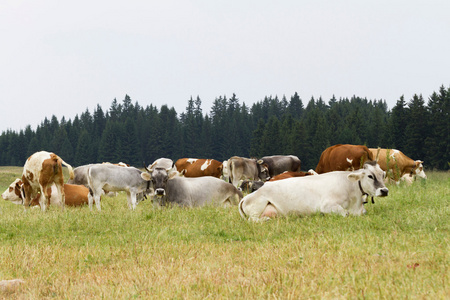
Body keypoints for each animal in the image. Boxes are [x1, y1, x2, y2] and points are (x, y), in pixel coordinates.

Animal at [239, 161, 390, 221]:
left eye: (383, 174)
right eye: (370, 176)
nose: (384, 191)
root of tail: (246, 197)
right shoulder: (327, 205)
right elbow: (345, 213)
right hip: (258, 204)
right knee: (252, 220)